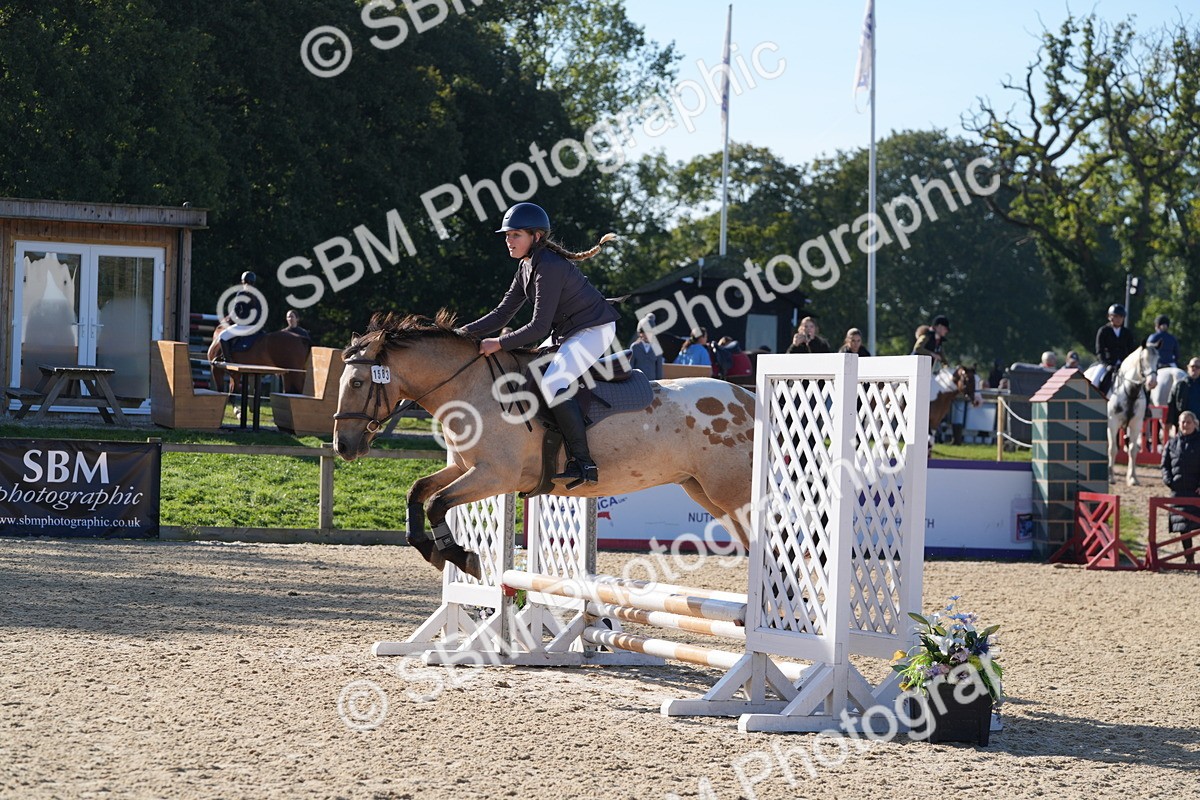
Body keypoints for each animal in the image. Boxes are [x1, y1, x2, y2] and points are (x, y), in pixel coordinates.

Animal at [331, 311, 755, 579]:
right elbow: (418, 491)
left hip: (733, 494)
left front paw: (460, 556)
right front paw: (433, 550)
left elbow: (436, 502)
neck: (471, 388)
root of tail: (747, 398)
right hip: (704, 492)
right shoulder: (464, 468)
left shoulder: (494, 476)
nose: (343, 446)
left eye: (357, 383)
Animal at [1105, 345, 1160, 485]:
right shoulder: (1112, 423)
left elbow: (1133, 450)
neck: (1130, 391)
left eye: (1158, 360)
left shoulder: (1136, 424)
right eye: (1142, 359)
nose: (1152, 382)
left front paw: (1133, 478)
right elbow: (1112, 449)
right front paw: (1110, 477)